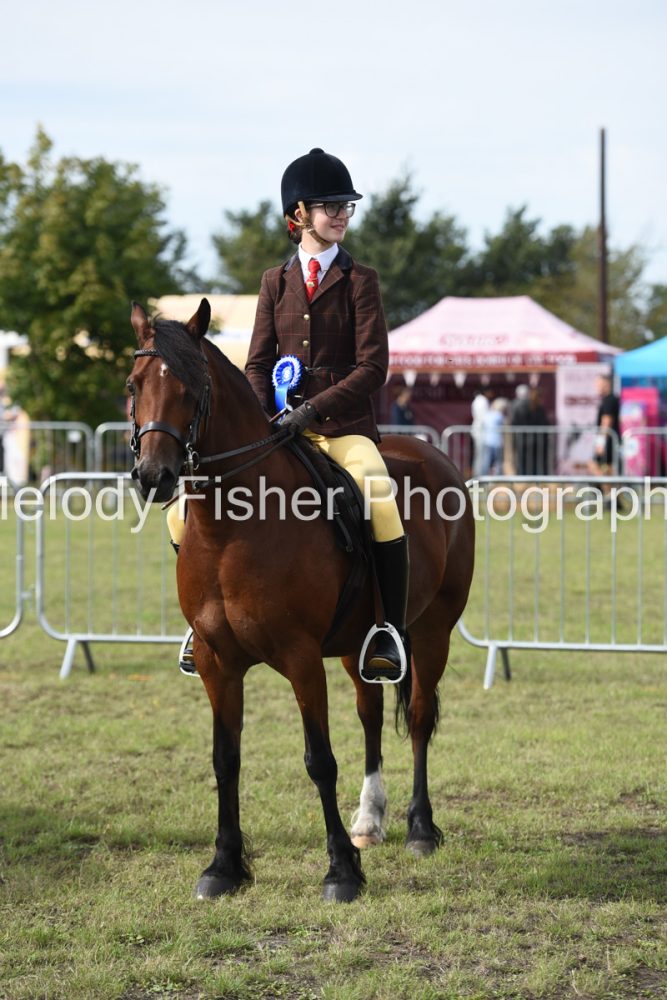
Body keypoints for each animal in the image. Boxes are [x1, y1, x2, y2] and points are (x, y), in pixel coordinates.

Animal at [128, 298, 475, 902]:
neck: (230, 531)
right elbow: (225, 759)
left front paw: (340, 872)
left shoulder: (300, 657)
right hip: (361, 644)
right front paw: (223, 866)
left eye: (191, 391)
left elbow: (320, 761)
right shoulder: (219, 663)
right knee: (371, 712)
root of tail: (433, 454)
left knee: (420, 717)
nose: (153, 477)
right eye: (132, 385)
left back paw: (420, 828)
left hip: (434, 632)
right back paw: (369, 821)